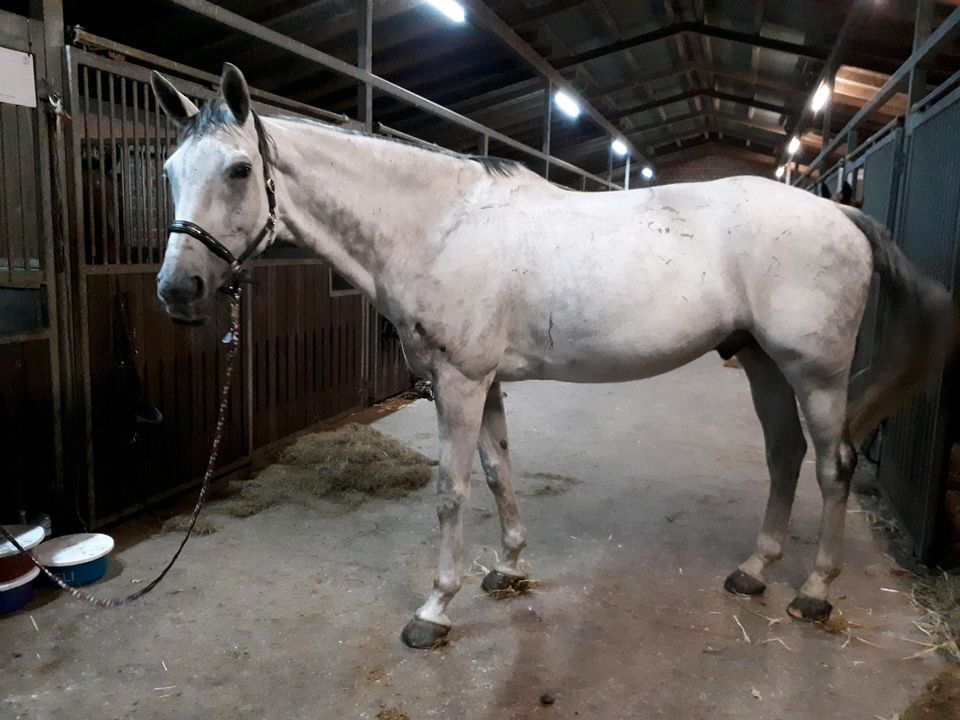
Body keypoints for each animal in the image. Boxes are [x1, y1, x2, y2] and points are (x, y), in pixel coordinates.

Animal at [152, 66, 960, 648]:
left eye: (237, 170)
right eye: (167, 171)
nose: (176, 290)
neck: (439, 225)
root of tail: (842, 211)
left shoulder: (458, 381)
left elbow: (451, 490)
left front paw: (434, 610)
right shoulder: (484, 382)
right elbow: (498, 472)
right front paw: (508, 569)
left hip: (814, 372)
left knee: (833, 465)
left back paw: (814, 593)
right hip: (761, 361)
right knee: (785, 454)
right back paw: (753, 572)